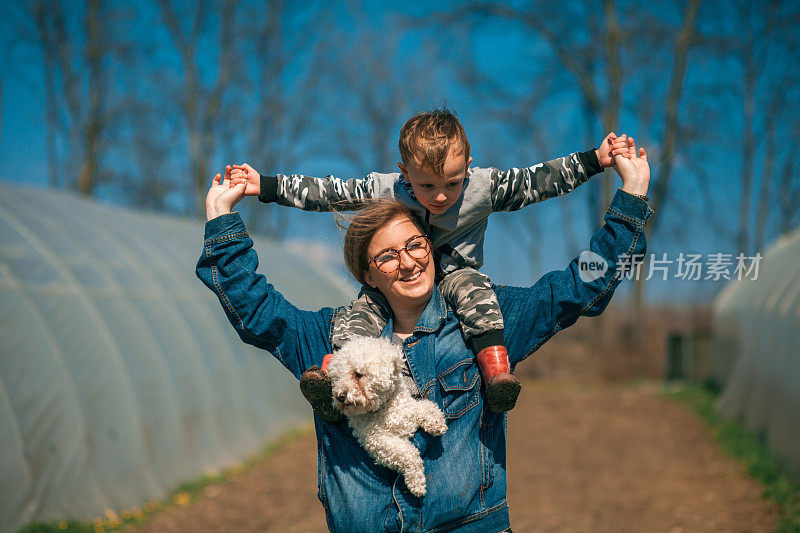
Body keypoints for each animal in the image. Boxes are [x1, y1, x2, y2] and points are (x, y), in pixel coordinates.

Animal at [326, 336, 450, 494]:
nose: (340, 396)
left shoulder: (409, 409)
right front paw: (416, 483)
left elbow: (427, 406)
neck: (384, 407)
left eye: (358, 374)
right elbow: (408, 454)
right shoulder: (378, 441)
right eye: (336, 379)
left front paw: (436, 423)